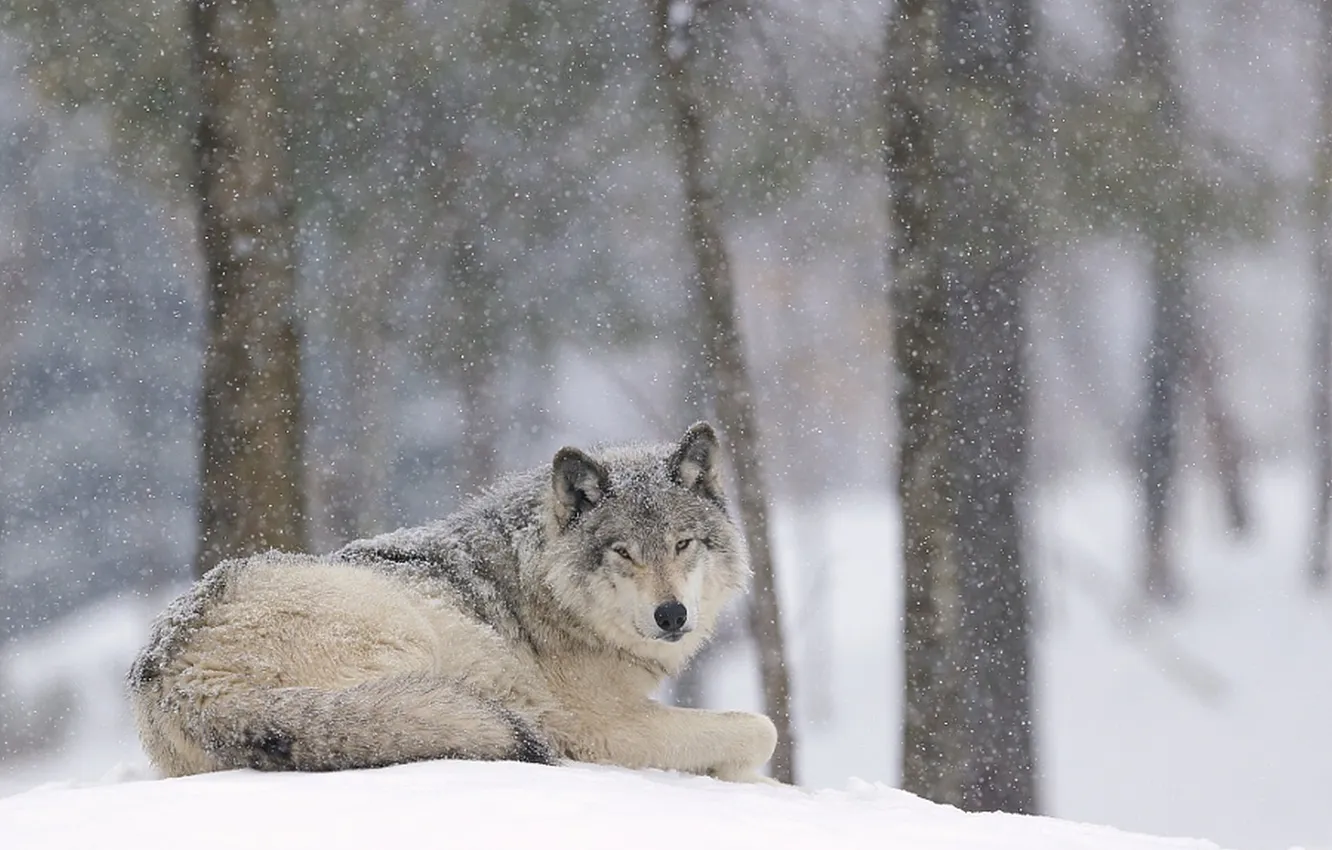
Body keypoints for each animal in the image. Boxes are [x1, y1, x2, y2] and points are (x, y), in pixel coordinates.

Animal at [128, 422, 778, 783]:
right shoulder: (605, 727)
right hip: (403, 634)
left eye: (683, 544)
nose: (672, 615)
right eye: (623, 552)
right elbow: (760, 729)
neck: (544, 592)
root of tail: (177, 677)